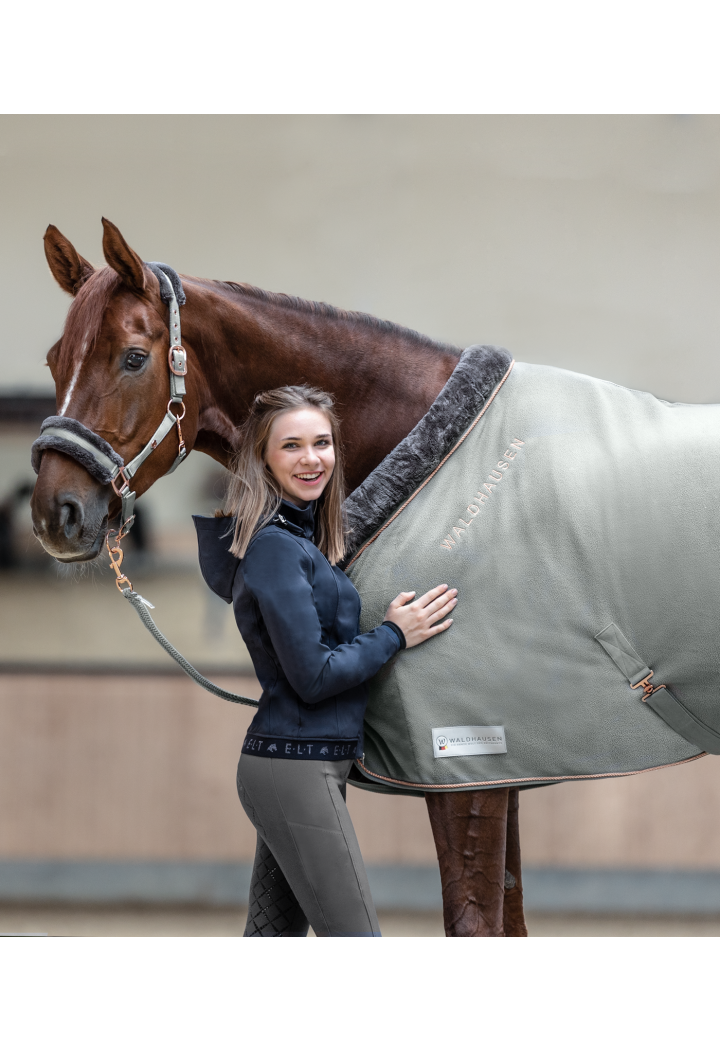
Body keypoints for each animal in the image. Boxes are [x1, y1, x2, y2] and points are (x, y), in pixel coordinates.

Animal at [31, 218, 528, 937]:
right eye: (53, 360)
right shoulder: (501, 763)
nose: (55, 512)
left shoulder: (473, 762)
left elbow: (477, 921)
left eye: (132, 357)